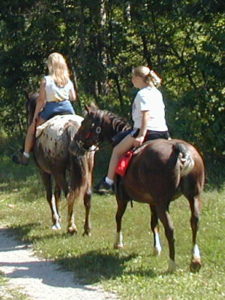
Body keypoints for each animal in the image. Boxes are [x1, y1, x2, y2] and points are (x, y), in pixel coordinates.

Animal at [25, 94, 95, 234]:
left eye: (29, 110)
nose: (30, 120)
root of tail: (70, 127)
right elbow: (57, 194)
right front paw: (59, 218)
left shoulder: (45, 171)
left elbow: (50, 195)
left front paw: (55, 220)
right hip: (88, 168)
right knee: (87, 195)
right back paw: (87, 228)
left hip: (58, 172)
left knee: (69, 194)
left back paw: (71, 227)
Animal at [71, 104, 205, 274]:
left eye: (84, 123)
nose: (75, 143)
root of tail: (179, 149)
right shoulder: (152, 202)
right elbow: (153, 223)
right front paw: (156, 249)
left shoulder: (122, 198)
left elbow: (118, 217)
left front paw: (118, 243)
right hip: (193, 197)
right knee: (195, 222)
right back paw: (195, 260)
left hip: (163, 203)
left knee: (170, 229)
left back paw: (172, 264)